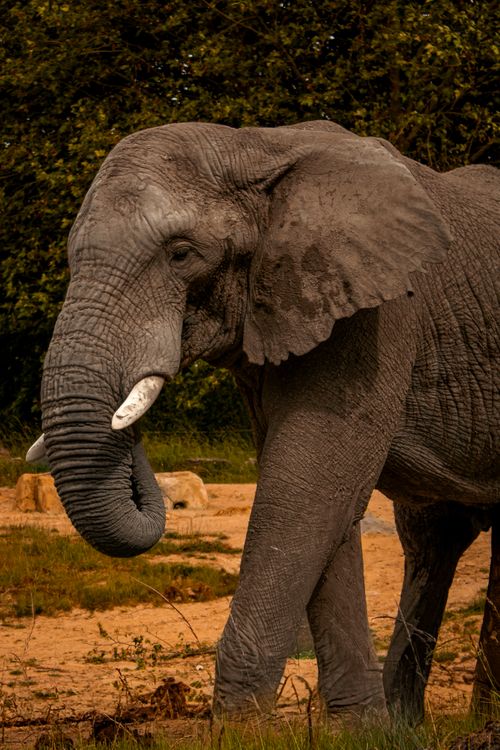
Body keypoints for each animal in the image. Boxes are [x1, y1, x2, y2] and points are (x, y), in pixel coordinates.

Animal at [28, 120, 499, 724]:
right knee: (433, 538)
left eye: (181, 254)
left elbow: (304, 491)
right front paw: (361, 730)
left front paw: (241, 731)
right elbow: (322, 503)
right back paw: (425, 724)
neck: (257, 145)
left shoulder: (378, 314)